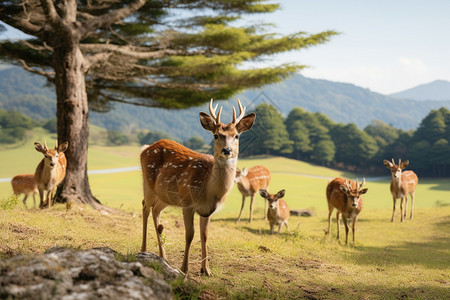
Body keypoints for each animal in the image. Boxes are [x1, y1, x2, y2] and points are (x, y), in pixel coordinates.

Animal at [141, 99, 255, 276]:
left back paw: (163, 257)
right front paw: (184, 269)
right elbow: (189, 235)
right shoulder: (187, 202)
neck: (208, 190)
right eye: (216, 135)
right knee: (145, 207)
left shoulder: (207, 210)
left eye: (236, 135)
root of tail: (144, 148)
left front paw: (206, 270)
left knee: (155, 210)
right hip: (148, 184)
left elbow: (205, 235)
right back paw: (144, 250)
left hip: (166, 196)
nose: (227, 150)